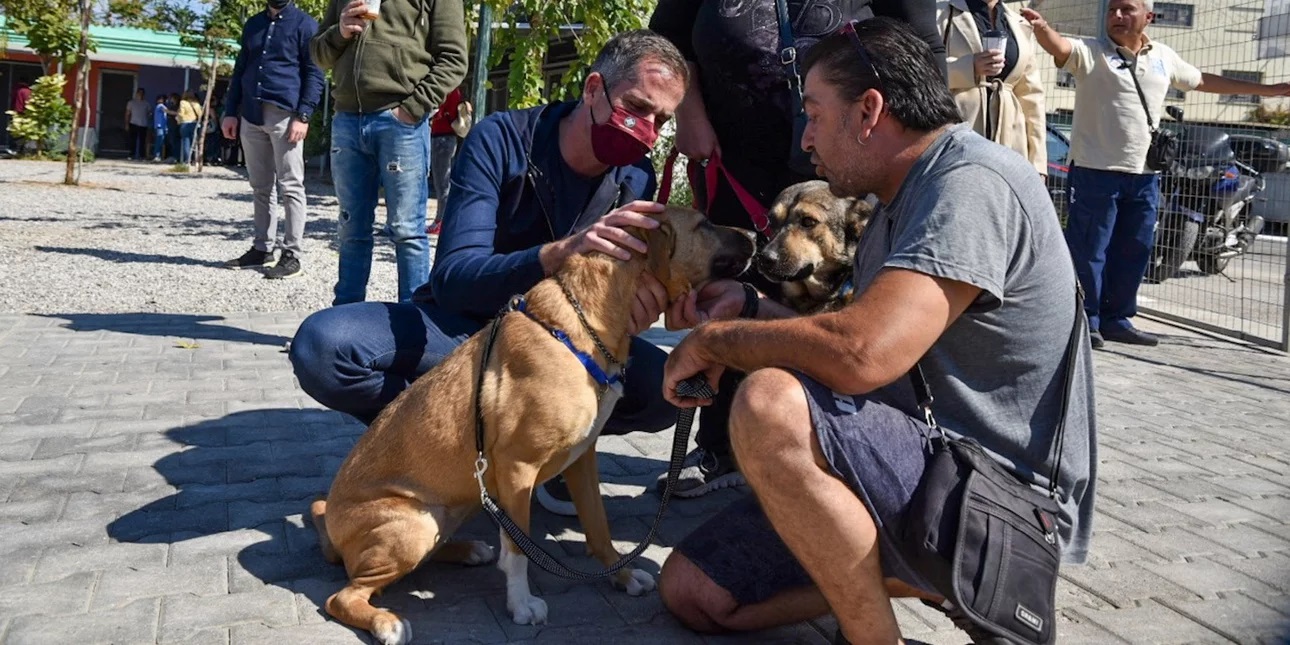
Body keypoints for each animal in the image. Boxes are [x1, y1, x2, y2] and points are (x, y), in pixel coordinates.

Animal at [310, 207, 753, 645]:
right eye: (704, 224)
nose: (755, 235)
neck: (584, 327)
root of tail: (329, 527)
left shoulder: (583, 459)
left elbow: (599, 528)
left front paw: (622, 575)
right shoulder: (517, 469)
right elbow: (519, 550)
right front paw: (521, 604)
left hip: (441, 517)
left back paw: (469, 550)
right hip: (412, 526)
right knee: (342, 596)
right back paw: (387, 622)